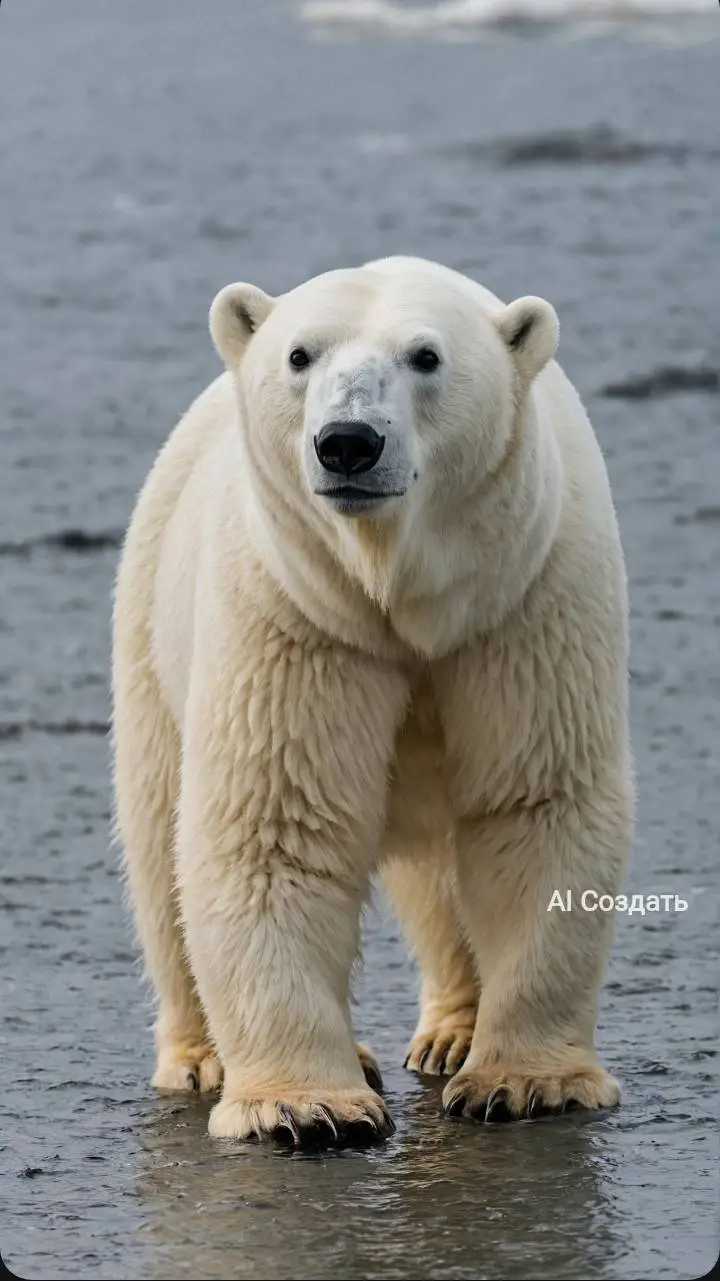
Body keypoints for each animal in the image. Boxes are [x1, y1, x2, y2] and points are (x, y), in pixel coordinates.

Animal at [112, 255, 633, 1145]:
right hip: (151, 628)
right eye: (300, 354)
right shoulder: (296, 615)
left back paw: (452, 1034)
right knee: (158, 847)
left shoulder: (526, 601)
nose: (348, 442)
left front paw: (525, 1082)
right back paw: (205, 1057)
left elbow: (535, 806)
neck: (400, 589)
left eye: (426, 356)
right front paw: (305, 1103)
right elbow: (276, 824)